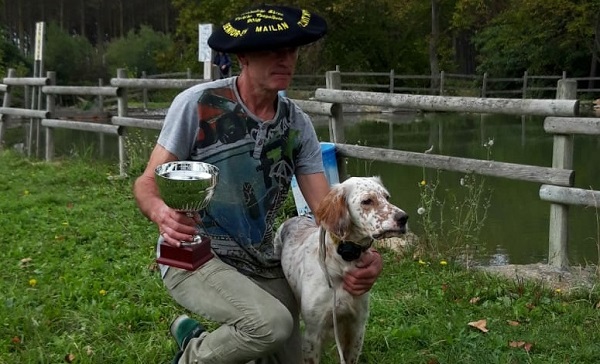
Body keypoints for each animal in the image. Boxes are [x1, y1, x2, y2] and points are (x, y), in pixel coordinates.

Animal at [276, 177, 408, 364]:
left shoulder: (357, 327)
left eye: (387, 197)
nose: (404, 218)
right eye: (367, 201)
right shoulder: (313, 333)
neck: (344, 261)